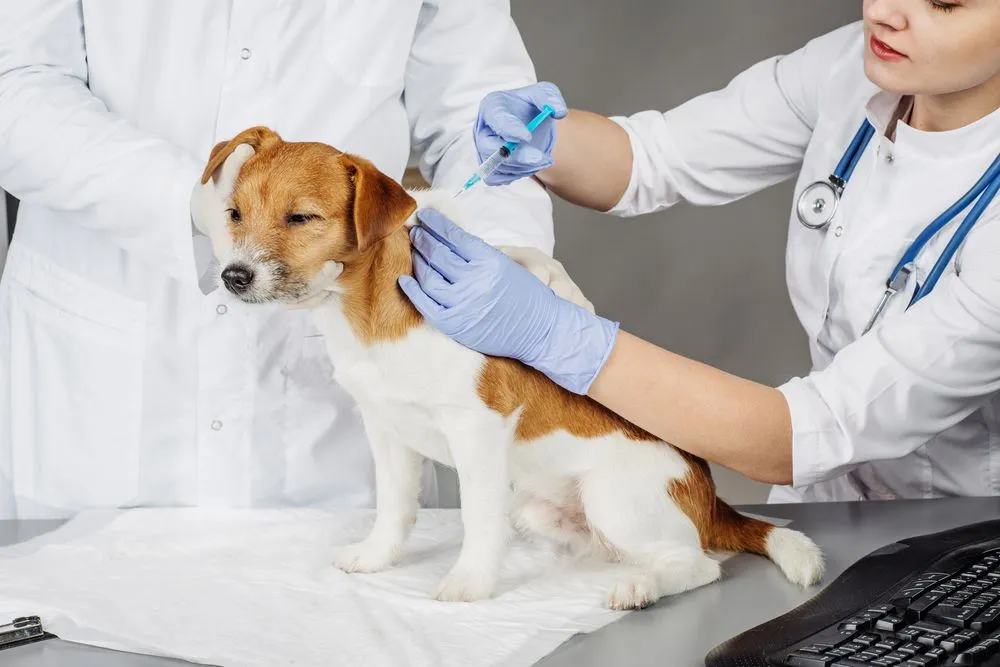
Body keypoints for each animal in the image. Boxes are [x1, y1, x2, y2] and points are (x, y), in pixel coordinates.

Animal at [199, 125, 824, 612]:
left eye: (301, 217)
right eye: (233, 214)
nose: (233, 277)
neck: (369, 316)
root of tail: (710, 499)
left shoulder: (477, 433)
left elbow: (478, 522)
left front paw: (469, 585)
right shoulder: (387, 431)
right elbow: (395, 508)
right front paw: (377, 557)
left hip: (613, 496)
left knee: (696, 564)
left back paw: (640, 586)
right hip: (536, 508)